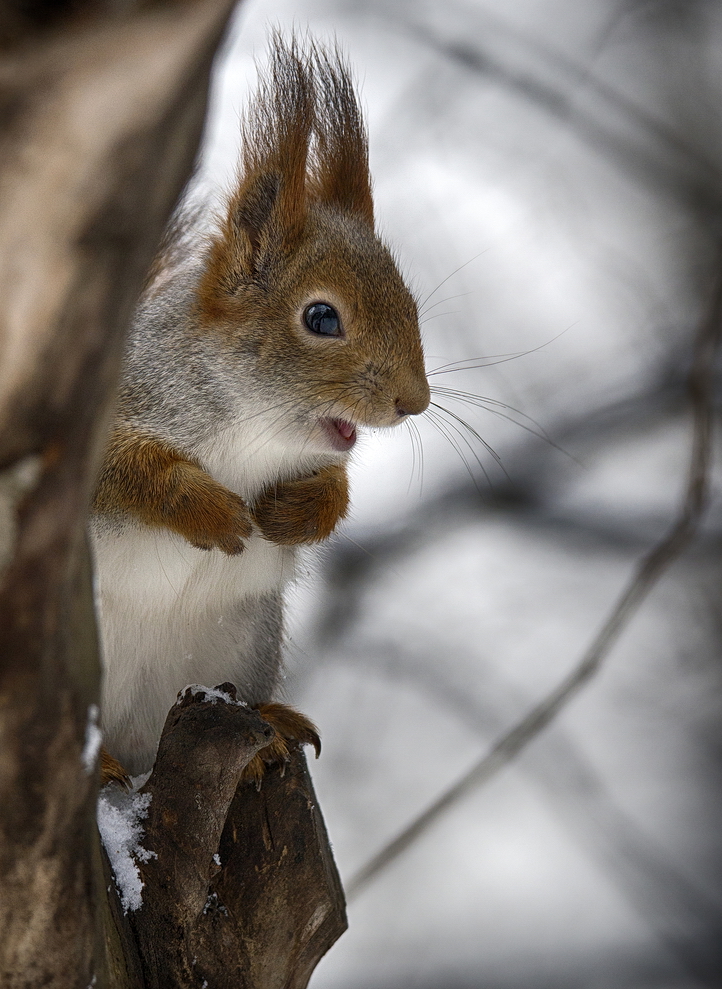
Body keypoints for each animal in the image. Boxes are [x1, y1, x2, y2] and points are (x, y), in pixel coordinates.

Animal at [89, 34, 428, 784]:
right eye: (322, 317)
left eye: (412, 305)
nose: (414, 401)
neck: (252, 432)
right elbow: (120, 472)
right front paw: (205, 507)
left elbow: (328, 486)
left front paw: (300, 509)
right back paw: (99, 769)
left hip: (240, 648)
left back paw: (269, 730)